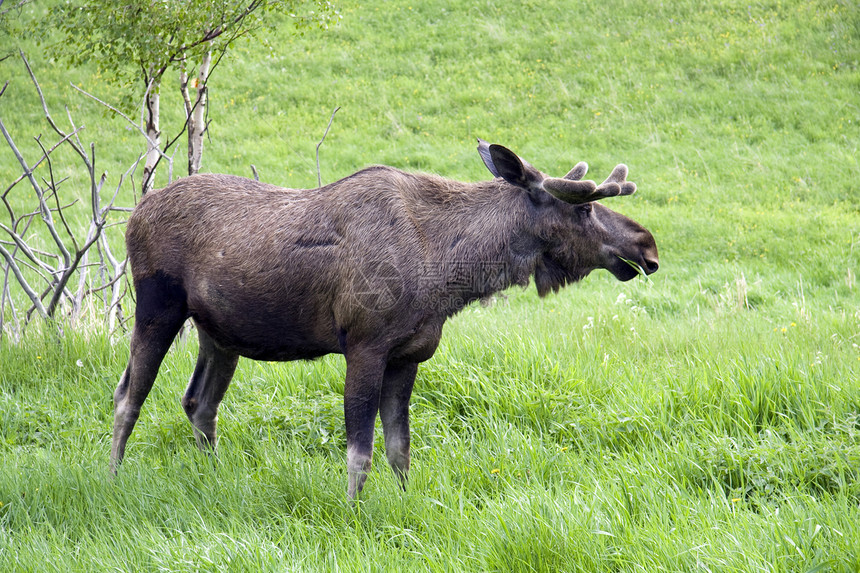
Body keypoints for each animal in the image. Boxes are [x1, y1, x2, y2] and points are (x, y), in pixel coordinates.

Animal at [109, 141, 660, 498]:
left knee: (199, 404)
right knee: (128, 397)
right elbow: (361, 451)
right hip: (157, 307)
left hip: (219, 333)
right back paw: (112, 479)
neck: (448, 273)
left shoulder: (409, 354)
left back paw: (214, 480)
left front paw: (402, 504)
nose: (647, 246)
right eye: (584, 209)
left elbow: (400, 449)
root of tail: (133, 214)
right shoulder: (365, 345)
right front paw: (353, 513)